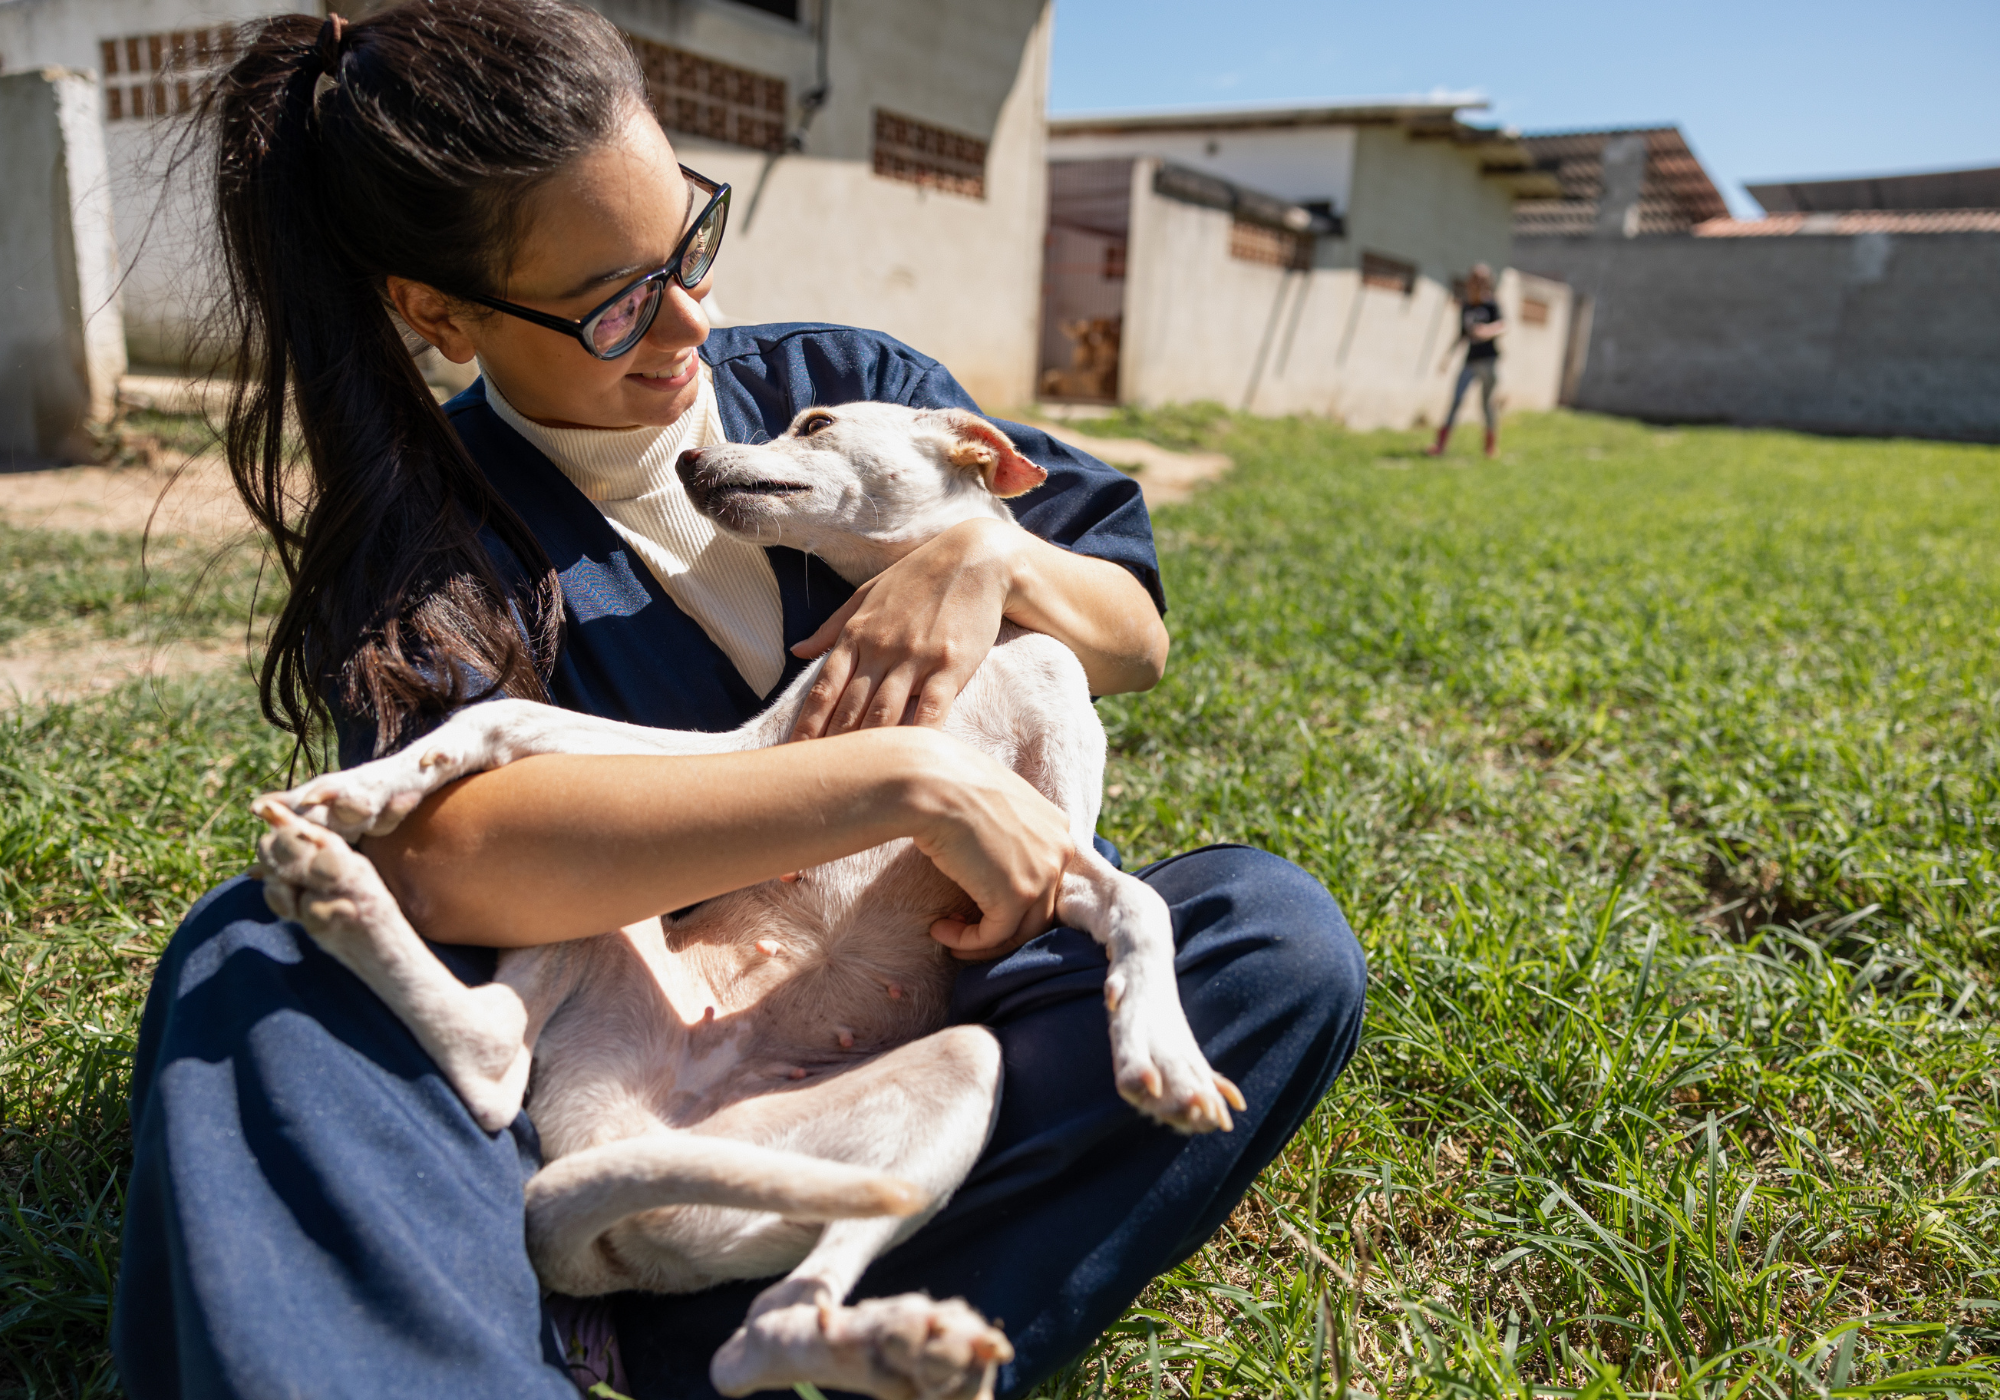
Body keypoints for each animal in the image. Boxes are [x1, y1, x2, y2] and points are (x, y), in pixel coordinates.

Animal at [254, 404, 1232, 1400]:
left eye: (815, 421)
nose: (687, 459)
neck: (977, 652)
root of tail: (623, 1139)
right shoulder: (744, 751)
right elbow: (499, 716)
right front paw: (361, 788)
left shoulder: (1050, 856)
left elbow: (1137, 906)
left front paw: (1163, 1052)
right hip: (602, 887)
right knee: (498, 1065)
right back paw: (335, 884)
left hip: (939, 1078)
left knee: (756, 1331)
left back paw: (901, 1346)